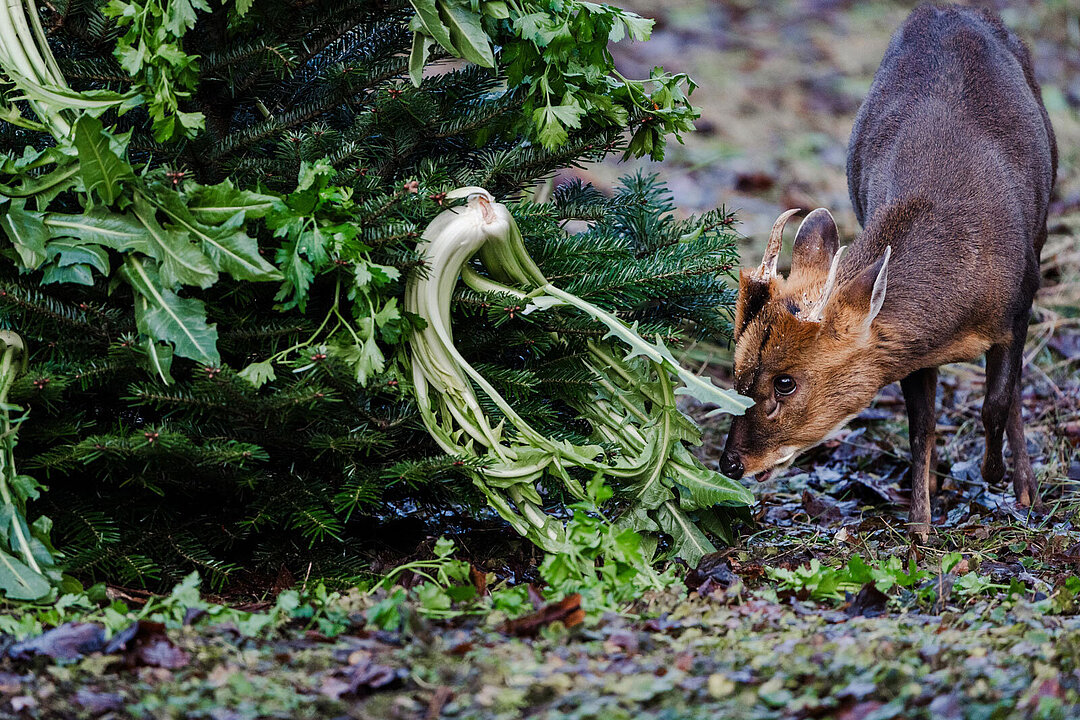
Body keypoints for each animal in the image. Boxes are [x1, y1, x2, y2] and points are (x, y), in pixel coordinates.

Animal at [717, 2, 1054, 537]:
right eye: (737, 370)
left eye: (786, 382)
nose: (730, 463)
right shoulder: (912, 348)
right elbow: (921, 427)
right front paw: (920, 523)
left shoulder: (1019, 304)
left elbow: (998, 399)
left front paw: (996, 475)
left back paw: (1025, 489)